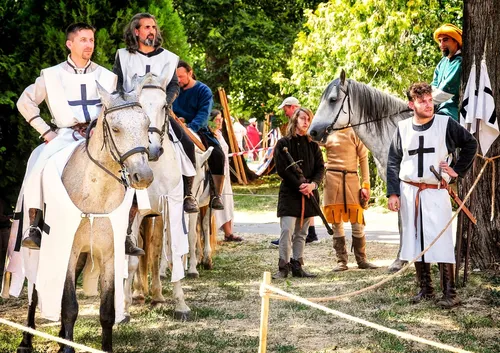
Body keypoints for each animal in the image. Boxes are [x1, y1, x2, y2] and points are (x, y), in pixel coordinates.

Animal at [15, 80, 153, 352]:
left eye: (145, 124)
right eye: (116, 128)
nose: (143, 176)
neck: (96, 193)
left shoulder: (110, 254)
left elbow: (107, 311)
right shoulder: (67, 250)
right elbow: (69, 306)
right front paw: (66, 347)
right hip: (41, 251)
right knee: (34, 291)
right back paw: (27, 340)